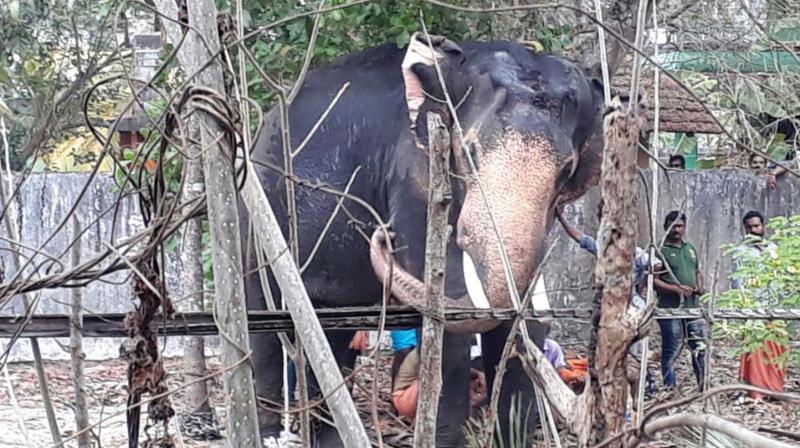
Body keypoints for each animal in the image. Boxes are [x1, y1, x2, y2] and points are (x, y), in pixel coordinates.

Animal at [241, 33, 604, 446]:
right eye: (467, 152)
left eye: (566, 171)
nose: (382, 234)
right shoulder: (415, 179)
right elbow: (451, 322)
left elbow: (521, 325)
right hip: (259, 209)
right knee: (265, 319)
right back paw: (271, 434)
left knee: (334, 331)